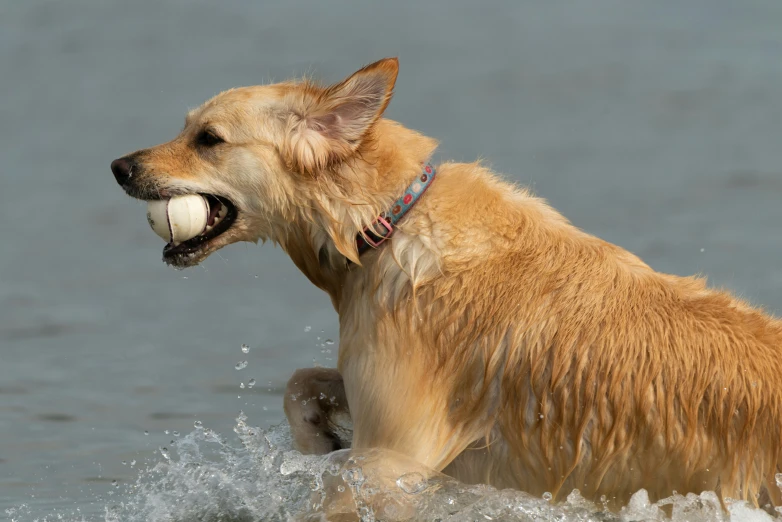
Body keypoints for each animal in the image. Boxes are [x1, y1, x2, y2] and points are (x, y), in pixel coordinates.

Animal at [110, 58, 782, 512]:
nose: (118, 166)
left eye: (208, 140)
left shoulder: (392, 458)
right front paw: (317, 440)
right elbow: (301, 383)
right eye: (187, 128)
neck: (386, 223)